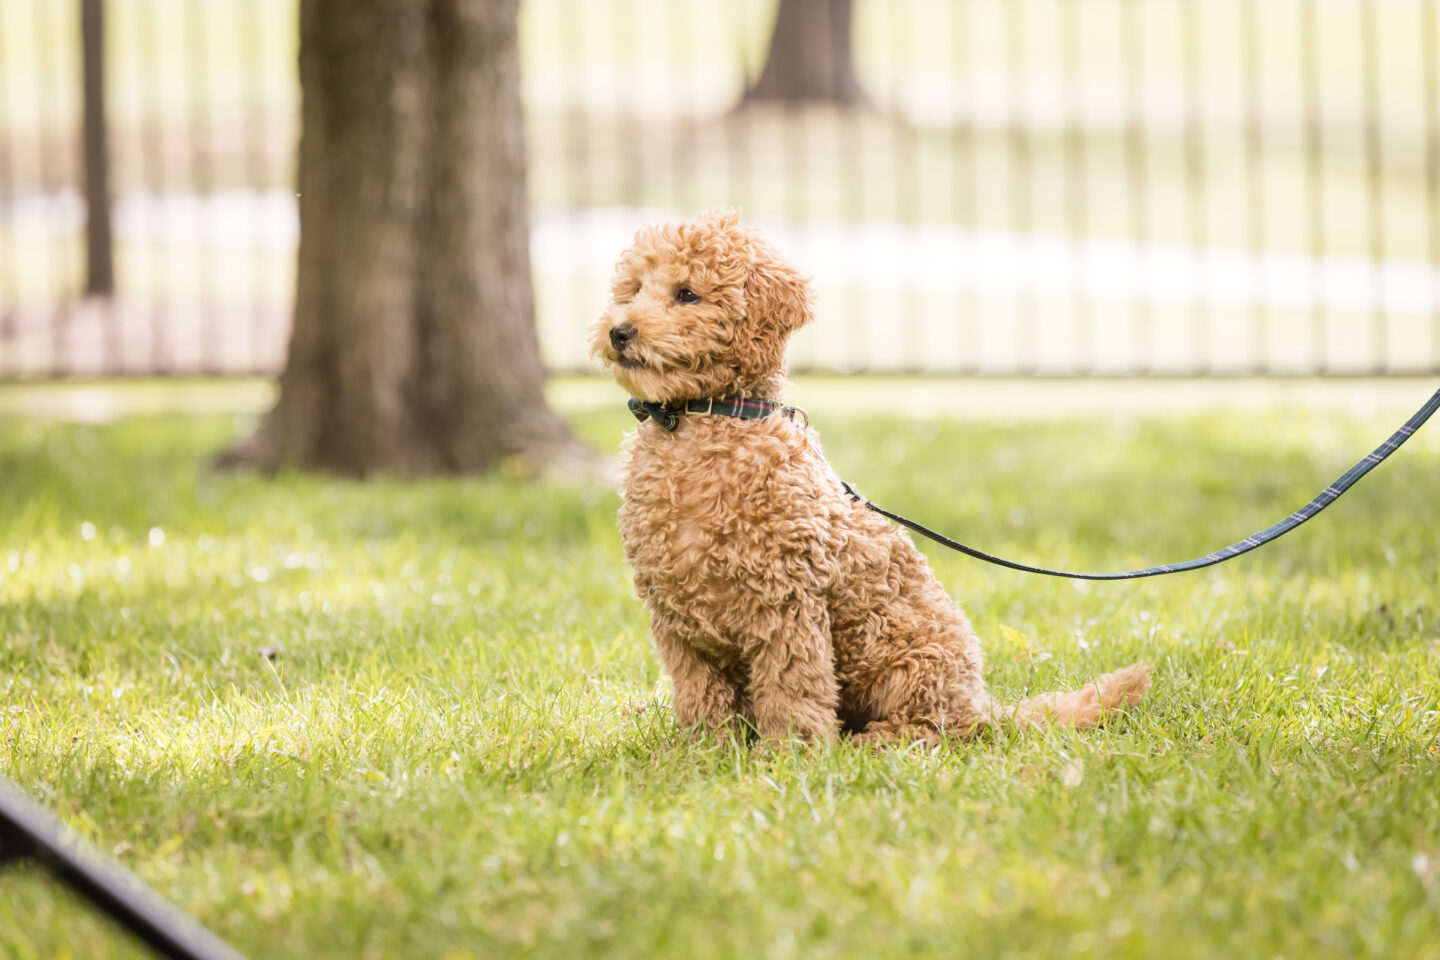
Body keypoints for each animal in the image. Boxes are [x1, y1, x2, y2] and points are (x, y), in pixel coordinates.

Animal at [584, 214, 1146, 748]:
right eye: (633, 289)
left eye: (686, 294)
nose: (619, 331)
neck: (701, 421)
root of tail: (982, 705)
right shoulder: (678, 621)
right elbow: (700, 697)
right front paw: (703, 754)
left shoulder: (786, 605)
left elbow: (792, 691)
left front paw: (790, 757)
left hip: (909, 657)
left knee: (934, 730)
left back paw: (868, 744)